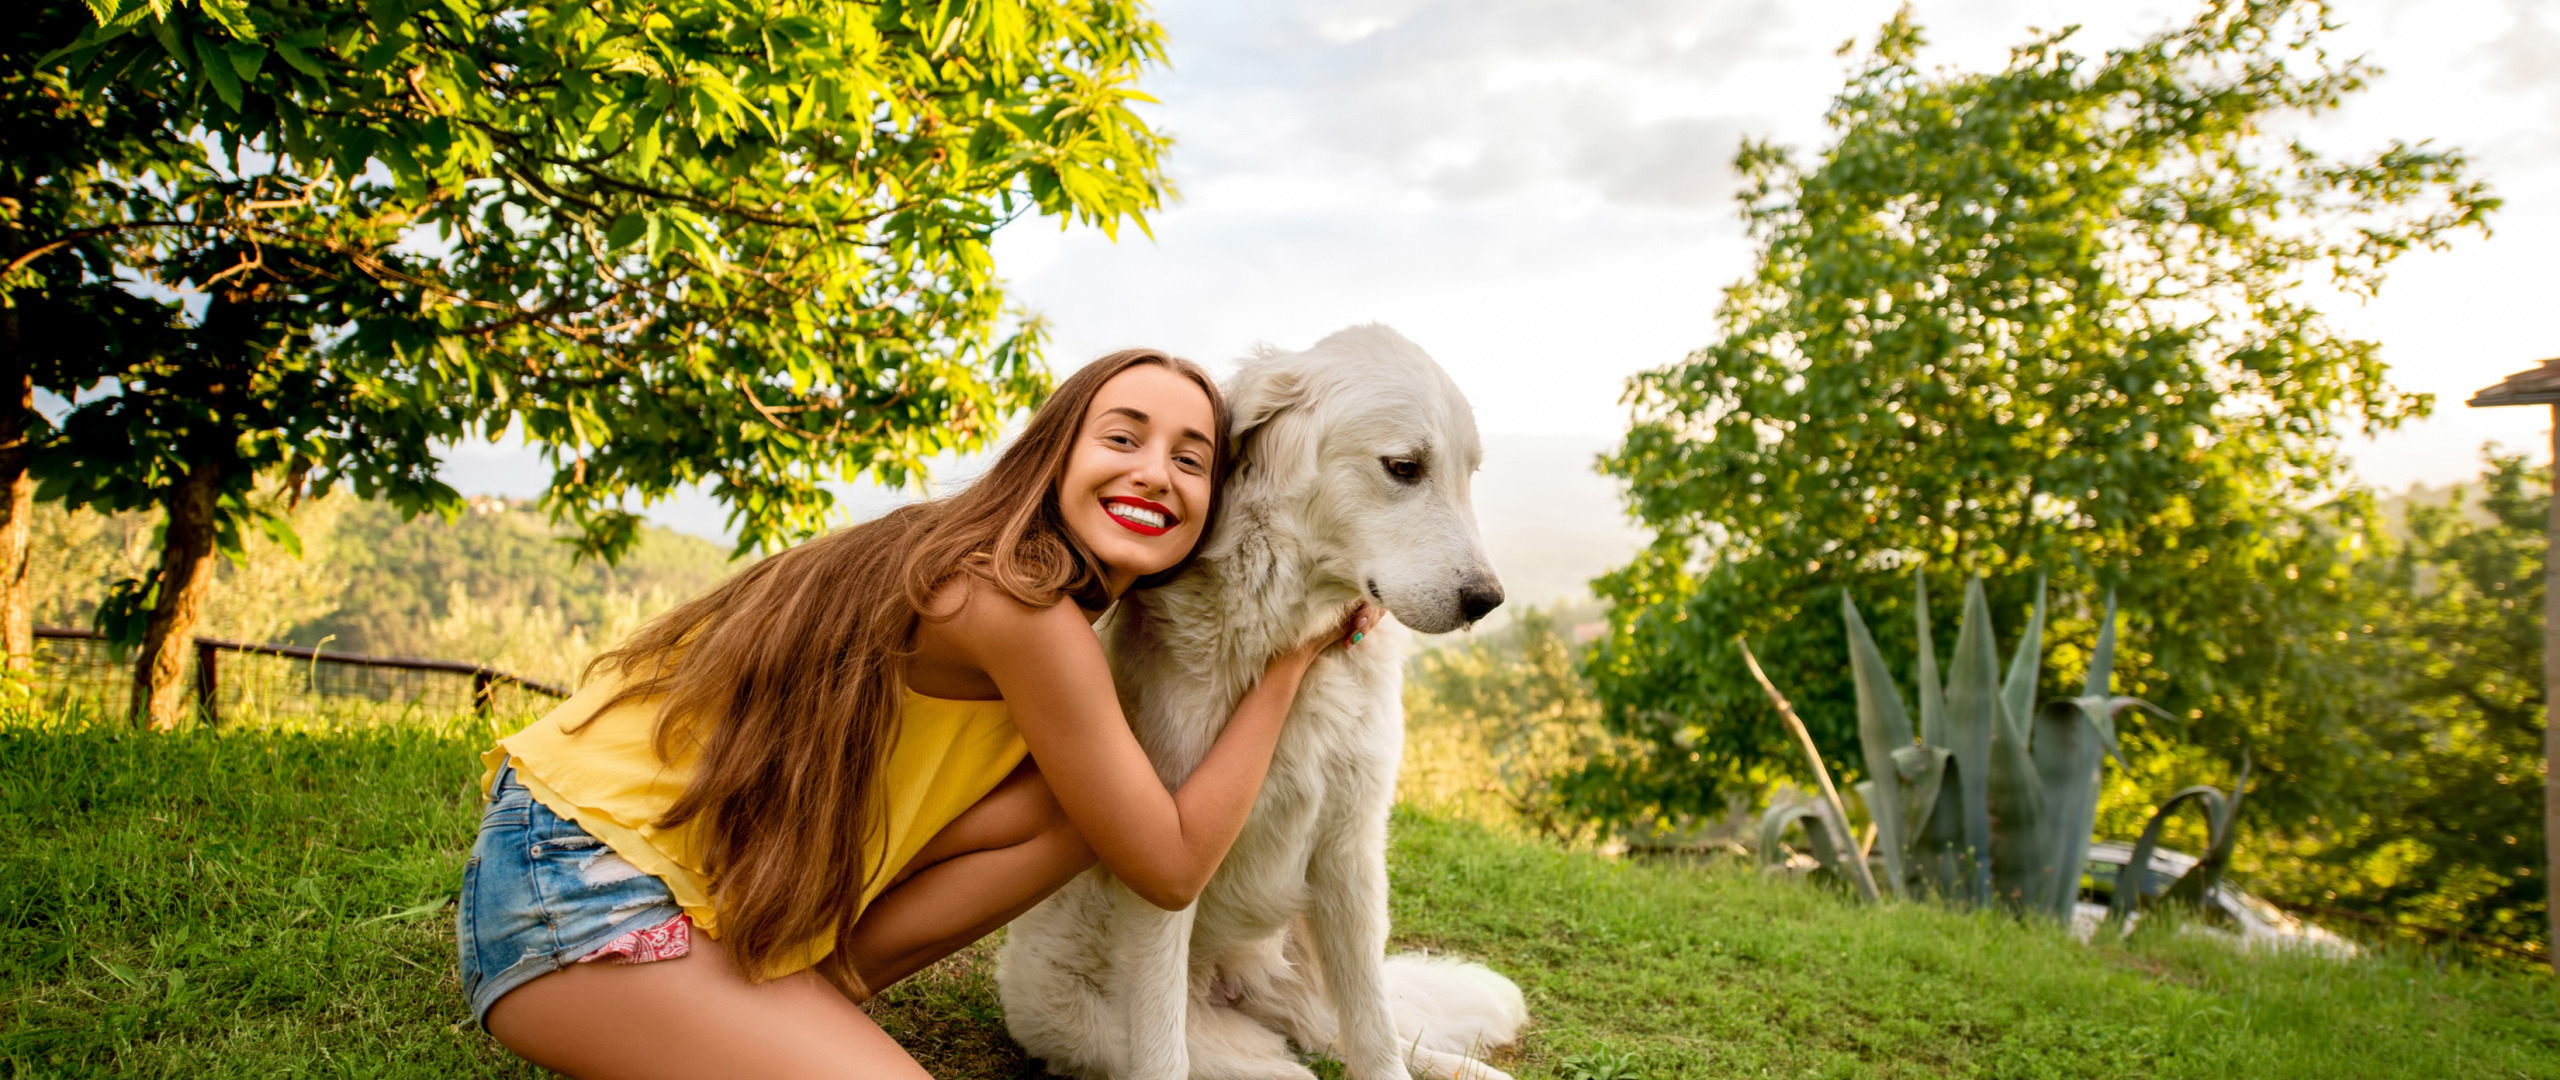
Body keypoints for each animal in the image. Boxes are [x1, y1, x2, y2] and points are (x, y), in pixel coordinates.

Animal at [993, 325, 1515, 1080]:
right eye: (1404, 468)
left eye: (1467, 474)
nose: (1488, 601)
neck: (1288, 642)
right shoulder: (1167, 869)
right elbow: (1161, 1050)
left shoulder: (1352, 850)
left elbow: (1376, 1034)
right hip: (1238, 1056)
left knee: (1357, 1035)